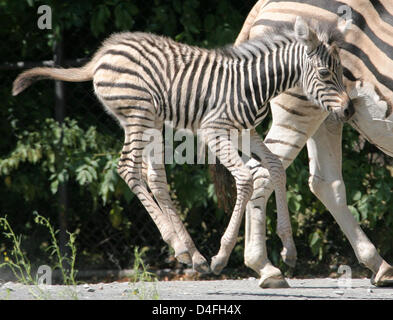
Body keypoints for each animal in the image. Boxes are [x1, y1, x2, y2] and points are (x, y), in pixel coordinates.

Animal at [12, 16, 350, 274]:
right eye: (324, 73)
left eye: (343, 73)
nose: (348, 111)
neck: (256, 85)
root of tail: (103, 53)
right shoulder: (214, 130)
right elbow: (244, 179)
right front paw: (222, 256)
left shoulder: (245, 132)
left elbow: (276, 167)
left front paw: (289, 249)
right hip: (138, 114)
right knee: (128, 169)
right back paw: (184, 249)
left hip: (150, 122)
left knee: (155, 178)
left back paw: (189, 252)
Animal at [225, 0, 392, 288]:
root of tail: (265, 3)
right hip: (299, 108)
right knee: (261, 174)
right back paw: (265, 267)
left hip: (328, 114)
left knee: (326, 184)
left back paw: (378, 265)